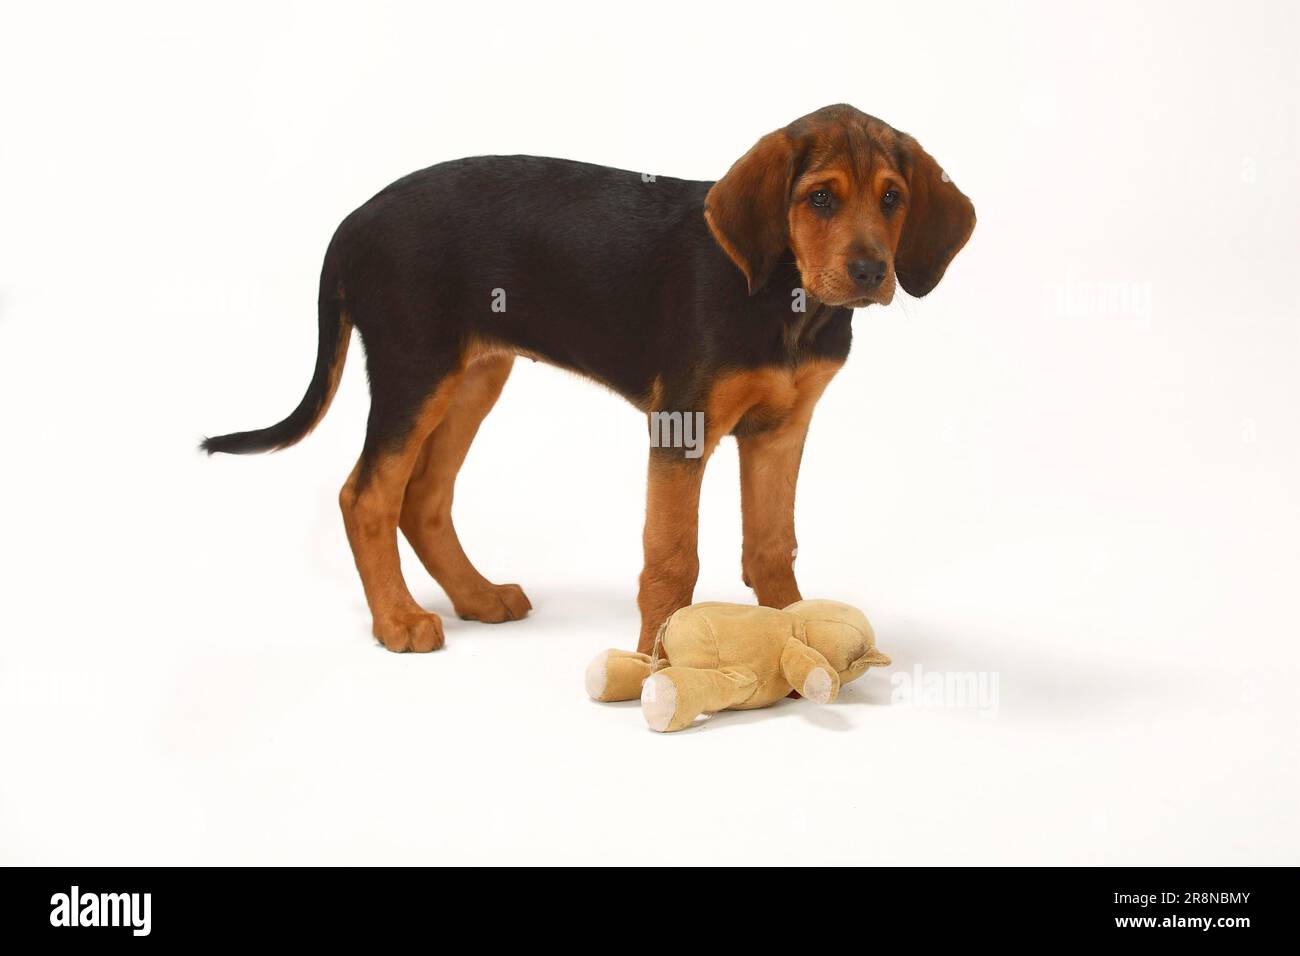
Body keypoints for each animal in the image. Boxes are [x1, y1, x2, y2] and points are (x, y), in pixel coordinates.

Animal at [202, 106, 977, 658]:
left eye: (892, 198)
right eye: (819, 199)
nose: (872, 271)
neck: (787, 303)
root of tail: (352, 221)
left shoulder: (781, 432)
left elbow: (771, 544)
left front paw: (797, 631)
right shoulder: (681, 426)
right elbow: (672, 557)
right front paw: (657, 659)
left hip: (474, 376)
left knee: (422, 499)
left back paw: (477, 596)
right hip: (413, 369)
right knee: (366, 495)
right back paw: (398, 619)